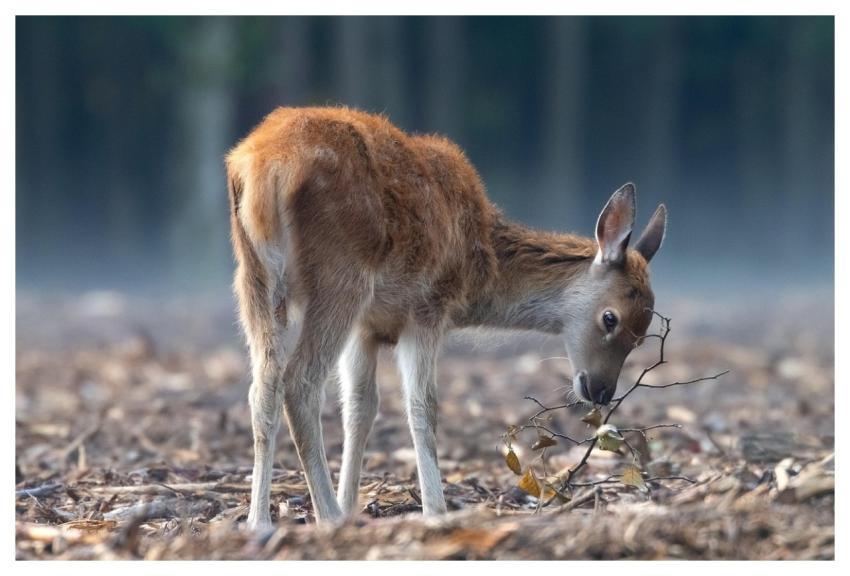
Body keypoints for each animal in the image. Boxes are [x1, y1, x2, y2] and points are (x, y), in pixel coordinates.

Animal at [226, 106, 667, 530]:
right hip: (341, 277)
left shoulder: (367, 326)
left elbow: (360, 407)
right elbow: (423, 407)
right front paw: (434, 510)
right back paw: (326, 516)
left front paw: (352, 505)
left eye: (642, 334)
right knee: (300, 382)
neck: (479, 268)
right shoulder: (427, 308)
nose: (601, 391)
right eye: (610, 318)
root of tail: (264, 167)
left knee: (263, 386)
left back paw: (259, 521)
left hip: (254, 278)